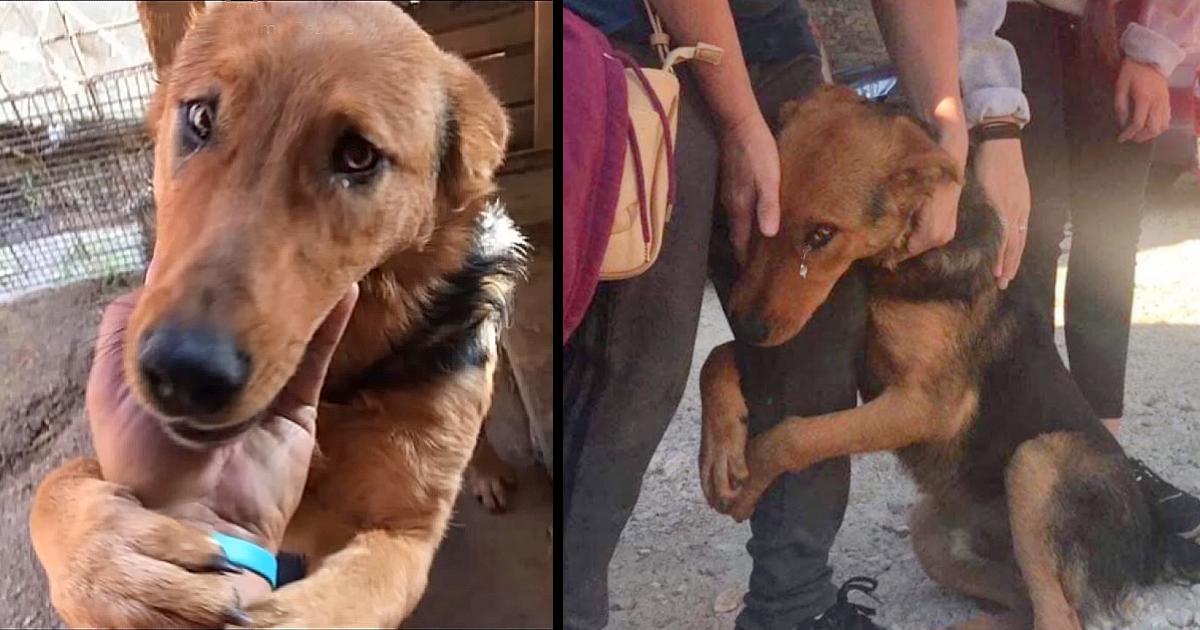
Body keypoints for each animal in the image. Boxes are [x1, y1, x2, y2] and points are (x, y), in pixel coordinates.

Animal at [28, 2, 523, 624]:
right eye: (200, 116)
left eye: (357, 156)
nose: (183, 373)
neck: (341, 383)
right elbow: (51, 490)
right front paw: (111, 564)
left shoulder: (404, 536)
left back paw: (491, 470)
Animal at [700, 87, 1176, 628]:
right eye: (761, 215)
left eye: (822, 235)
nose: (748, 326)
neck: (897, 260)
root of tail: (1149, 542)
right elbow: (715, 356)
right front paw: (720, 449)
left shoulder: (927, 405)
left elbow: (796, 435)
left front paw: (749, 479)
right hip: (929, 530)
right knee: (1024, 604)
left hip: (1036, 463)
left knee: (1057, 613)